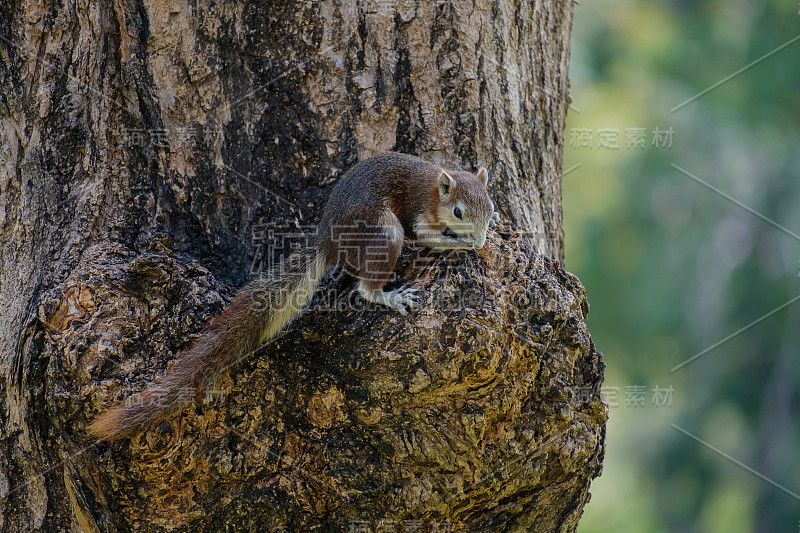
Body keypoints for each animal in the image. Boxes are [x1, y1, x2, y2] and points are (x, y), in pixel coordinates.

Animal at [90, 152, 496, 438]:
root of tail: (328, 240)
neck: (433, 190)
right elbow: (428, 237)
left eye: (491, 205)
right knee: (366, 287)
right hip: (384, 233)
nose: (479, 240)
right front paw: (464, 245)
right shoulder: (418, 214)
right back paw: (390, 297)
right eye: (458, 211)